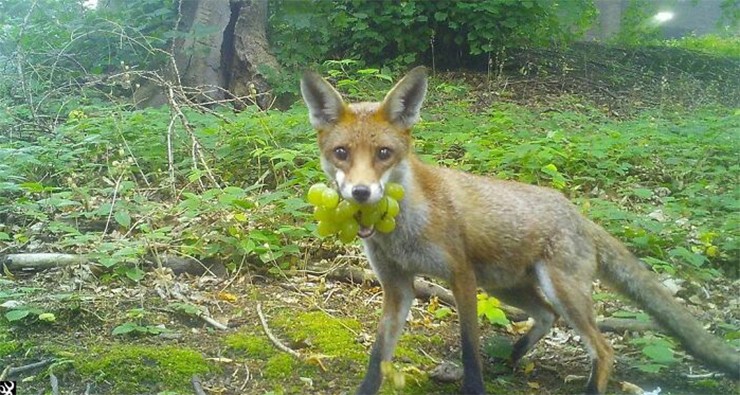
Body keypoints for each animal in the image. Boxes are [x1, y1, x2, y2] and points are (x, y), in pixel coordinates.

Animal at [300, 68, 740, 395]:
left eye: (384, 154)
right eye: (341, 153)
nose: (360, 192)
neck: (404, 229)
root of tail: (576, 213)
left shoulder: (461, 276)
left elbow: (470, 350)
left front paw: (474, 386)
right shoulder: (398, 287)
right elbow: (379, 356)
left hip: (557, 289)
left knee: (603, 348)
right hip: (506, 287)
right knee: (546, 317)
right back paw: (514, 355)